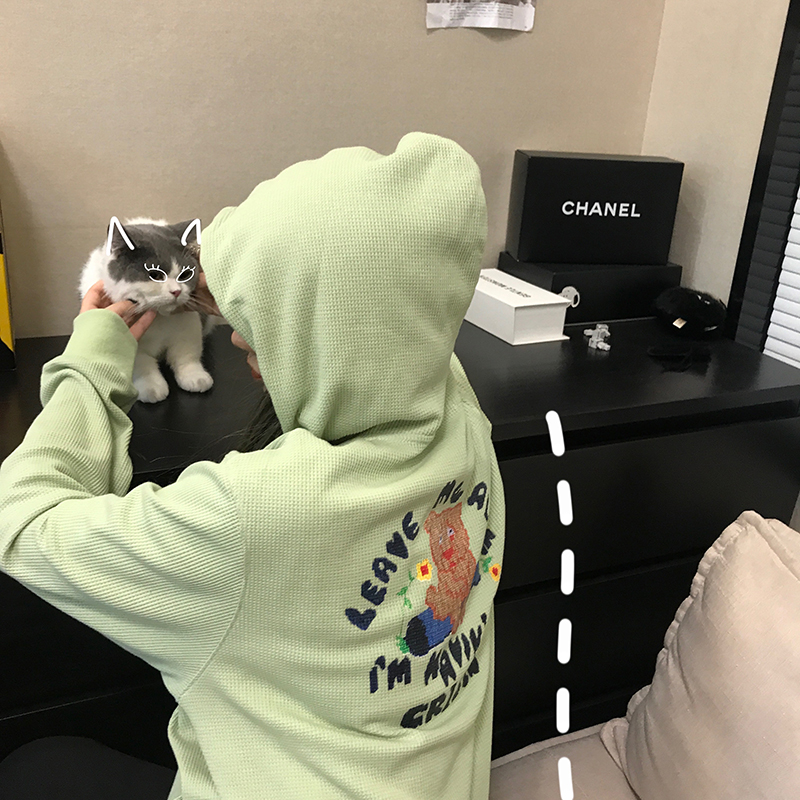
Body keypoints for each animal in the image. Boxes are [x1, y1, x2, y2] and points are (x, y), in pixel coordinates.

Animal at [79, 216, 220, 403]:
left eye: (185, 274)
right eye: (156, 275)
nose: (176, 291)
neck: (159, 320)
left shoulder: (188, 327)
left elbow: (187, 355)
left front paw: (195, 377)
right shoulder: (134, 345)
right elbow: (142, 366)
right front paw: (151, 387)